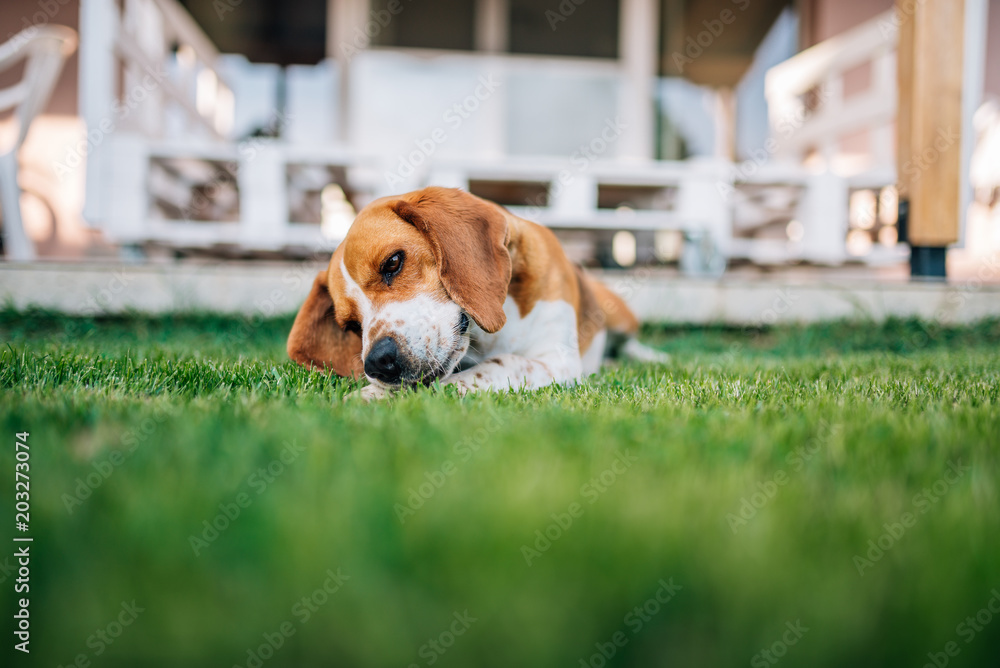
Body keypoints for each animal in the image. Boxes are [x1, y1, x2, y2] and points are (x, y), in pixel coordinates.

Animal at [288, 185, 656, 400]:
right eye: (351, 325)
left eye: (393, 262)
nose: (378, 363)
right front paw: (374, 393)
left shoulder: (557, 361)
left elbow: (497, 365)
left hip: (620, 316)